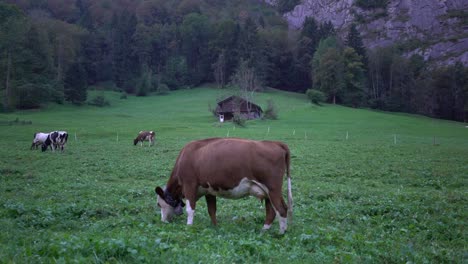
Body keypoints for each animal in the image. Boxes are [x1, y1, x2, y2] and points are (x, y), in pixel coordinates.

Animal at [154, 137, 292, 234]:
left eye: (160, 204)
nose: (163, 221)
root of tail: (275, 143)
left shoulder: (189, 185)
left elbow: (190, 209)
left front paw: (189, 227)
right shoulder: (208, 190)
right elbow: (212, 210)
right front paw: (215, 227)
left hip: (273, 189)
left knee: (281, 209)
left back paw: (281, 233)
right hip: (267, 192)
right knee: (271, 211)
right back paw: (263, 230)